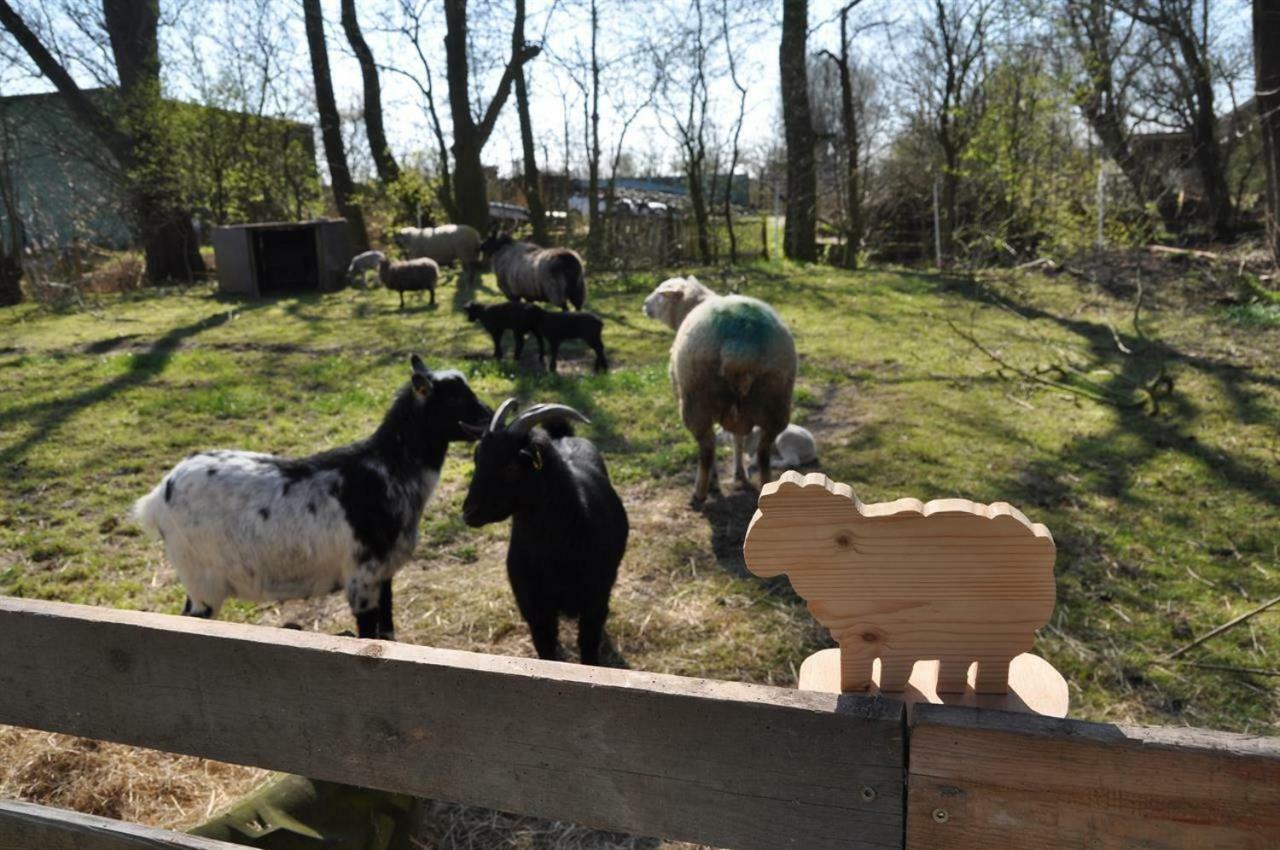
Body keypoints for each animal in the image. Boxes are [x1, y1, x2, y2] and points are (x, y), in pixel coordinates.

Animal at [129, 355, 488, 640]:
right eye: (455, 399)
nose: (487, 418)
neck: (387, 470)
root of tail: (158, 497)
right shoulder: (361, 578)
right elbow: (368, 634)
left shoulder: (383, 574)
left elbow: (387, 634)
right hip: (201, 579)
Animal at [460, 399, 629, 665]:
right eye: (477, 458)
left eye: (511, 466)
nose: (469, 512)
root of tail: (562, 435)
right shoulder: (535, 609)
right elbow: (547, 652)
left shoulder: (596, 601)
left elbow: (589, 648)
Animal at [645, 277, 793, 504]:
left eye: (661, 294)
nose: (644, 305)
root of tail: (741, 344)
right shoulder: (739, 415)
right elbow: (738, 439)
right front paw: (739, 474)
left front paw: (717, 482)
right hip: (775, 401)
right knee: (763, 452)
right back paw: (766, 486)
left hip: (697, 400)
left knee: (707, 448)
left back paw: (700, 493)